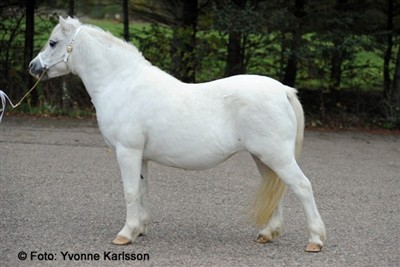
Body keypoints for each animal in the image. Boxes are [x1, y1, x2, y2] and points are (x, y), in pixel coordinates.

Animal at [29, 17, 326, 253]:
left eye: (53, 43)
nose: (33, 66)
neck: (122, 83)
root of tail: (283, 90)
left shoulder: (127, 151)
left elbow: (129, 191)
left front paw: (125, 234)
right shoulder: (141, 156)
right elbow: (142, 190)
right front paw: (140, 228)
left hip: (276, 156)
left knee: (302, 187)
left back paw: (315, 240)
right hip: (264, 158)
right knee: (278, 188)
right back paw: (267, 234)